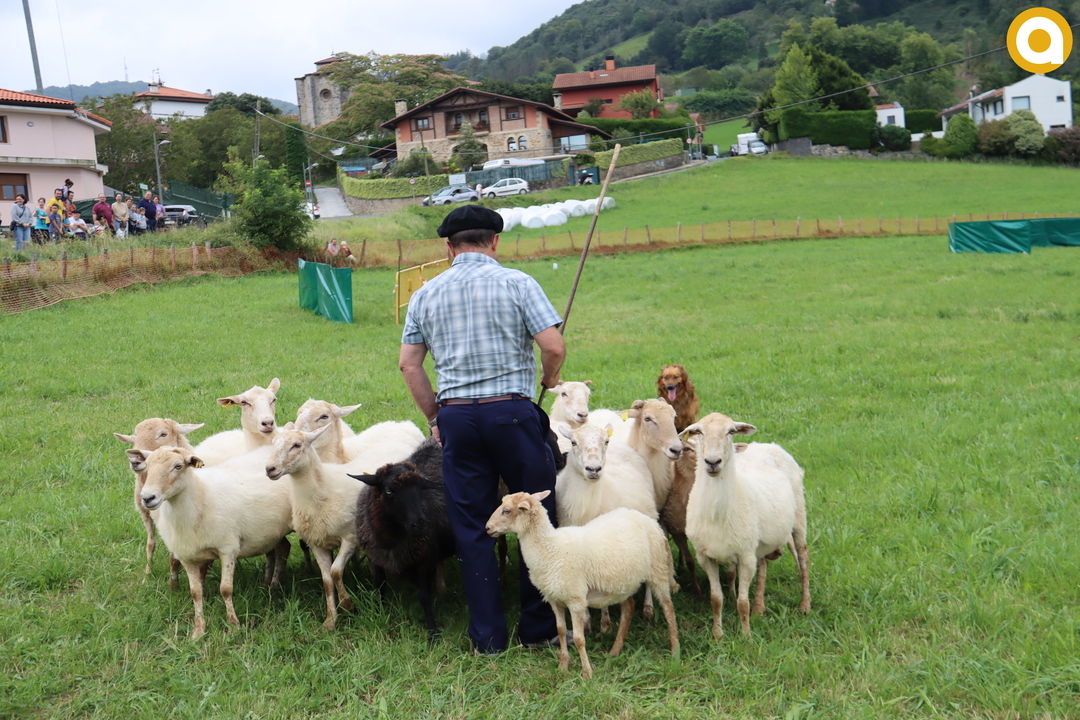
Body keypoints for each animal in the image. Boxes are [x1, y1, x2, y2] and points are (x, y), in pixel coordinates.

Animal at [130, 445, 294, 639]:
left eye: (178, 466)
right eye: (147, 466)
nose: (147, 497)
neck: (200, 497)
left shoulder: (228, 549)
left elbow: (226, 589)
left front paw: (233, 626)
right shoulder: (186, 557)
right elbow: (195, 592)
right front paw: (198, 630)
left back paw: (274, 585)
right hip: (274, 531)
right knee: (283, 548)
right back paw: (272, 585)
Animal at [264, 423, 366, 630]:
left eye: (296, 445)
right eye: (273, 442)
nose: (270, 469)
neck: (325, 491)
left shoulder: (349, 538)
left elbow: (336, 571)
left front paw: (348, 604)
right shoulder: (317, 543)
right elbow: (327, 580)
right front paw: (330, 620)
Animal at [350, 437, 456, 642]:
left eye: (421, 489)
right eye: (389, 491)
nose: (420, 524)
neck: (390, 537)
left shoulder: (424, 559)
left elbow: (424, 597)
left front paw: (433, 633)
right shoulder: (376, 557)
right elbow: (379, 588)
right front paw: (378, 615)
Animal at [486, 490, 679, 680]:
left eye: (506, 511)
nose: (487, 528)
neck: (551, 548)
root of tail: (649, 520)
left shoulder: (576, 600)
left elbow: (579, 639)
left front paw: (587, 674)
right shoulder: (554, 599)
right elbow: (561, 631)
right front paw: (563, 666)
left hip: (658, 568)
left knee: (668, 608)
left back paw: (675, 649)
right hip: (622, 582)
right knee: (628, 607)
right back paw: (615, 650)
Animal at [683, 413, 810, 639]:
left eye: (731, 431)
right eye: (698, 432)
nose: (712, 462)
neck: (717, 512)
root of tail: (770, 445)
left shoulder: (745, 556)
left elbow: (742, 603)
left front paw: (746, 637)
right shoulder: (705, 556)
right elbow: (716, 599)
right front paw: (718, 635)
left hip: (798, 518)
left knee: (803, 557)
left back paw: (805, 604)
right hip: (760, 538)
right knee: (764, 565)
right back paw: (759, 608)